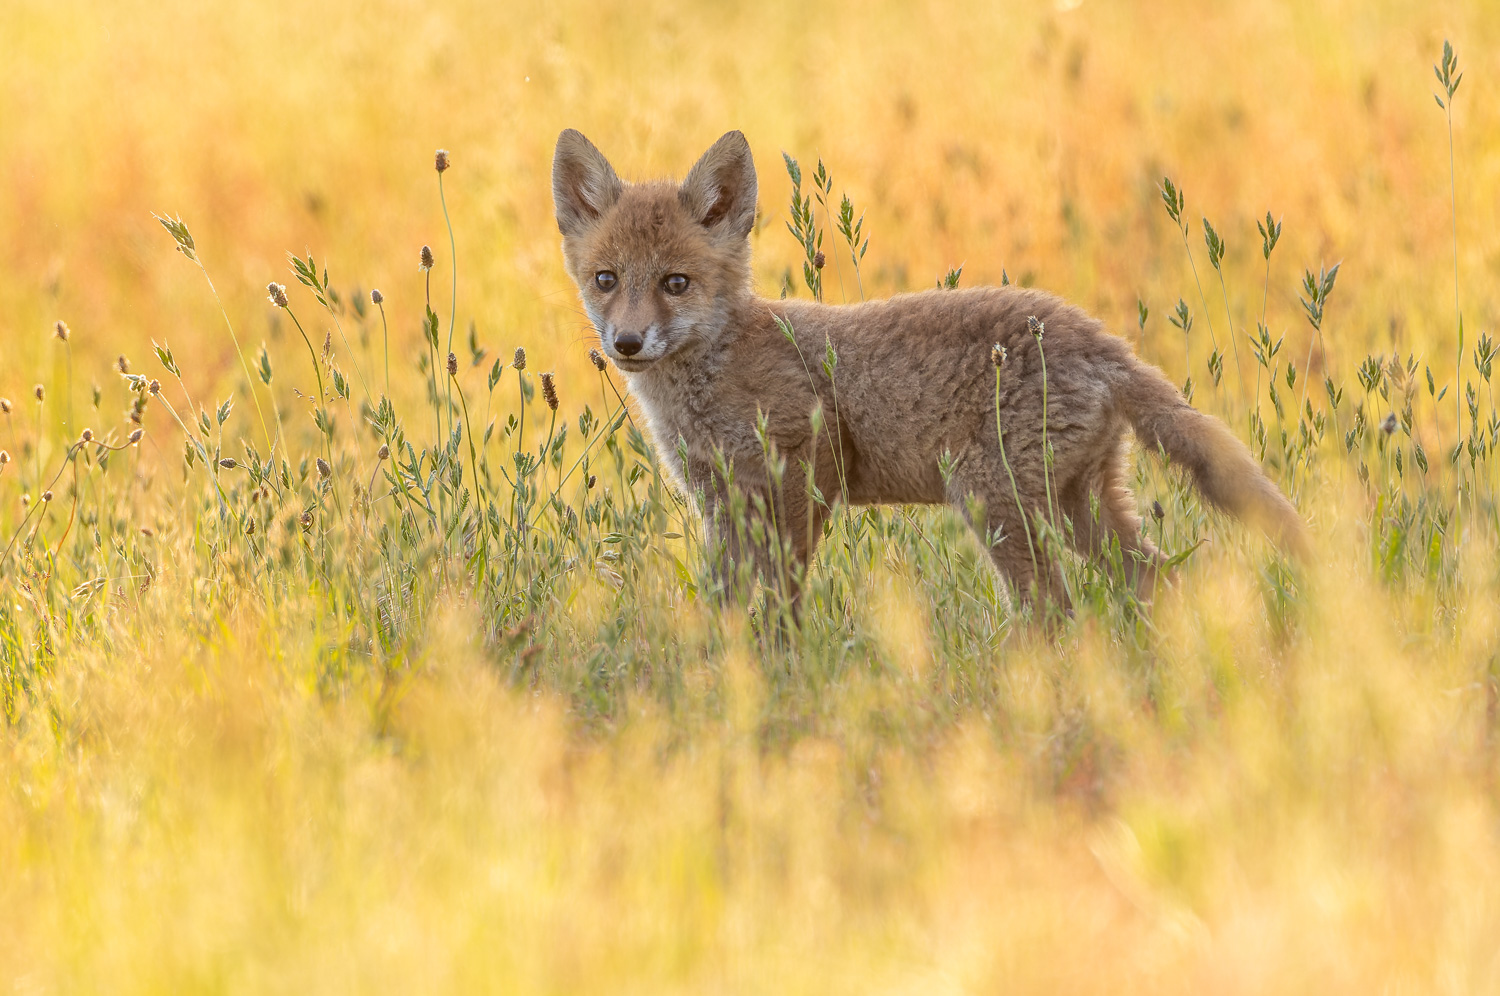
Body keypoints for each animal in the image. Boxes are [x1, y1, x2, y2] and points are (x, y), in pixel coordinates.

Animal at [552, 130, 1302, 615]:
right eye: (607, 280)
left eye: (675, 283)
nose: (626, 342)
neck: (713, 378)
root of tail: (1095, 335)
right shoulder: (724, 500)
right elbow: (730, 601)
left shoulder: (807, 469)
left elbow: (783, 597)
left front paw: (780, 666)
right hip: (1077, 507)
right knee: (1152, 581)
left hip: (994, 504)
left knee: (1056, 612)